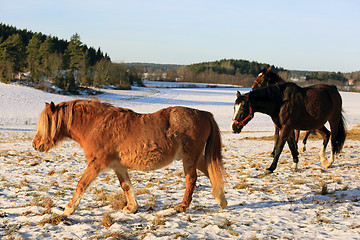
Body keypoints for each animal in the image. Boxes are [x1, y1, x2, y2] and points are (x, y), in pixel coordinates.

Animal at [32, 98, 226, 215]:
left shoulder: (96, 164)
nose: (36, 145)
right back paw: (221, 200)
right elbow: (126, 186)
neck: (95, 125)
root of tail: (204, 114)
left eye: (45, 124)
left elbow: (82, 184)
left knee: (191, 179)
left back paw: (183, 206)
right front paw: (131, 208)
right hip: (196, 158)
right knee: (210, 172)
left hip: (189, 157)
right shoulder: (118, 166)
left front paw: (68, 209)